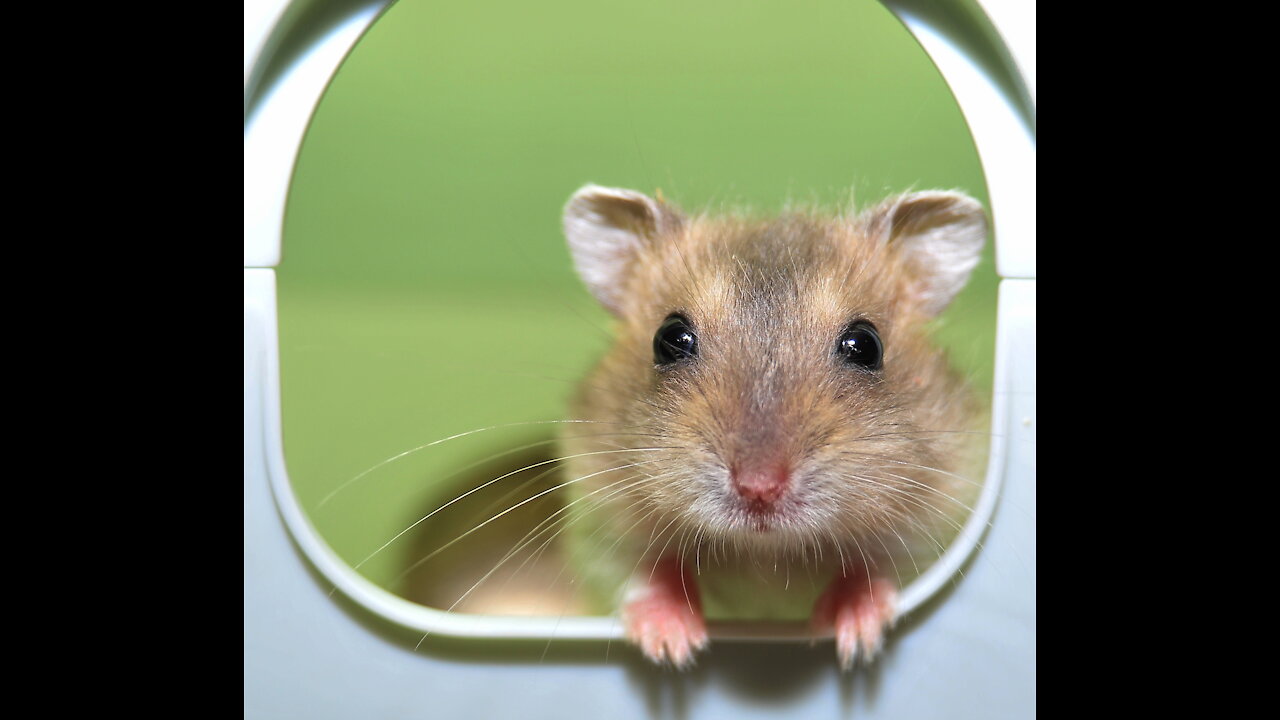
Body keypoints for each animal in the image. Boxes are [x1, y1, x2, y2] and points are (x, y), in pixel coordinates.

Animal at [555, 183, 983, 666]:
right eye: (669, 339)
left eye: (865, 345)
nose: (759, 489)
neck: (766, 553)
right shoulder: (596, 519)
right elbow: (643, 570)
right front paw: (671, 646)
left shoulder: (944, 520)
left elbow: (878, 566)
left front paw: (855, 636)